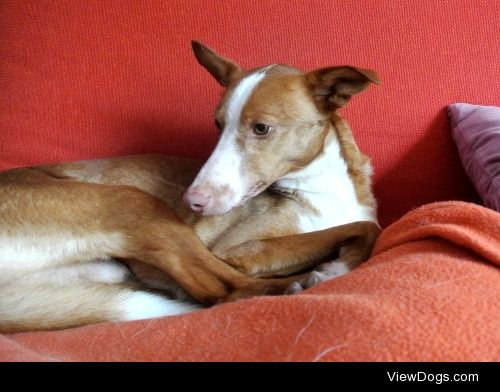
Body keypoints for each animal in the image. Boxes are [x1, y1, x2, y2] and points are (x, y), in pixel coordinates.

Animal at [0, 42, 378, 330]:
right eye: (218, 124)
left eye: (261, 128)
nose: (192, 201)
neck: (318, 187)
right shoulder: (239, 250)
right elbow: (362, 228)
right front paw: (337, 266)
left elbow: (364, 225)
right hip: (134, 205)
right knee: (226, 292)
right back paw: (299, 284)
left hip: (109, 271)